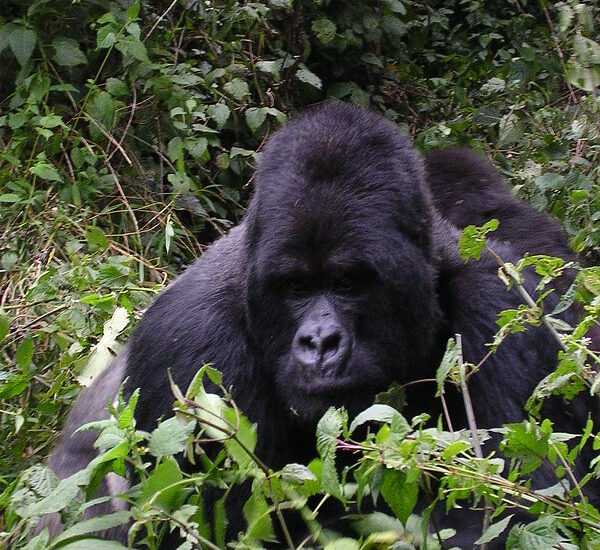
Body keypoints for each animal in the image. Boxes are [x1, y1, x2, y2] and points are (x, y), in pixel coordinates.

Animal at [43, 103, 596, 548]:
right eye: (295, 288)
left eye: (348, 282)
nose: (320, 342)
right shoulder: (186, 348)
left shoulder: (508, 308)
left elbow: (514, 511)